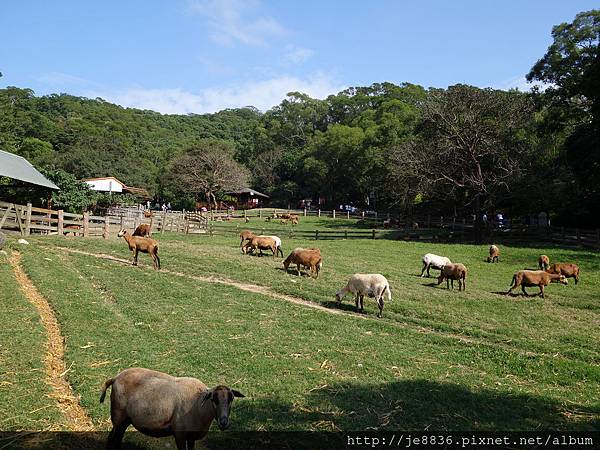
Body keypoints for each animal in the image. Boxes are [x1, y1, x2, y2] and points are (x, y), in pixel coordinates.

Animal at [99, 370, 245, 450]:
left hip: (125, 420)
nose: (223, 422)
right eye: (214, 399)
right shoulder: (179, 434)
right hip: (118, 415)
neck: (198, 403)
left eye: (231, 398)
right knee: (112, 439)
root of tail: (115, 378)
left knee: (116, 439)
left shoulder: (191, 436)